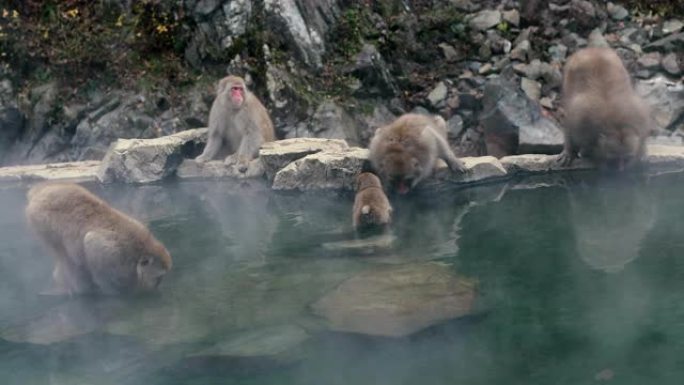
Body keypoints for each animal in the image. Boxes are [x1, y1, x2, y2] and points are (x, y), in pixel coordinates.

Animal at [27, 183, 174, 294]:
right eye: (158, 277)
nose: (156, 286)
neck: (135, 250)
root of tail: (39, 191)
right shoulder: (106, 254)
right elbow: (101, 276)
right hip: (41, 221)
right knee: (66, 256)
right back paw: (81, 289)